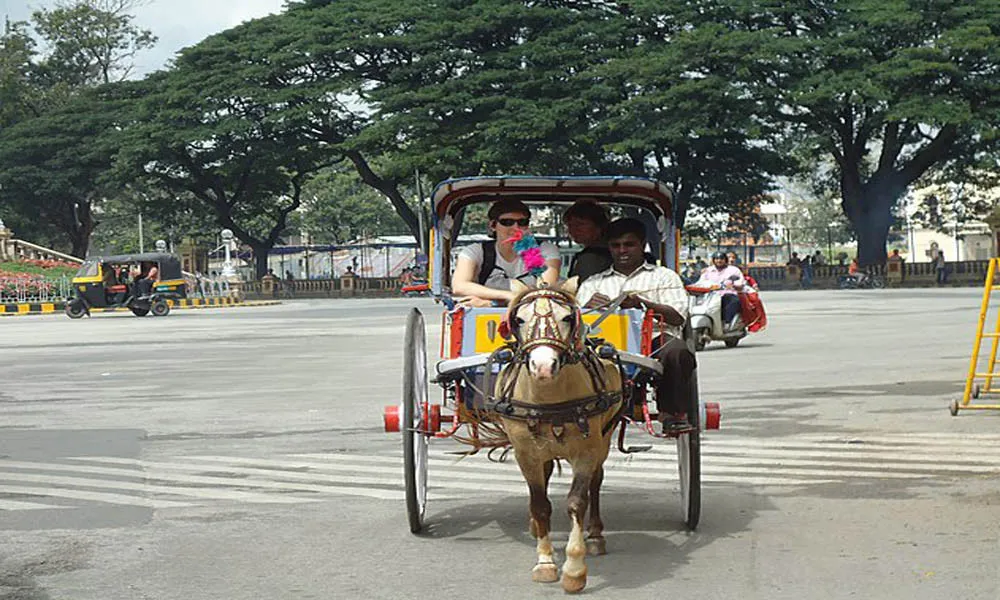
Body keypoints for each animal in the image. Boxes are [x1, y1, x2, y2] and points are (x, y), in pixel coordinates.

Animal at [494, 278, 624, 596]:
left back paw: (596, 535)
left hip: (604, 439)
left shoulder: (586, 452)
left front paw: (574, 570)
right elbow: (540, 505)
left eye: (567, 318)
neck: (548, 399)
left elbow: (577, 501)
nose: (543, 367)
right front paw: (545, 562)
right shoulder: (525, 454)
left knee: (596, 483)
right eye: (518, 319)